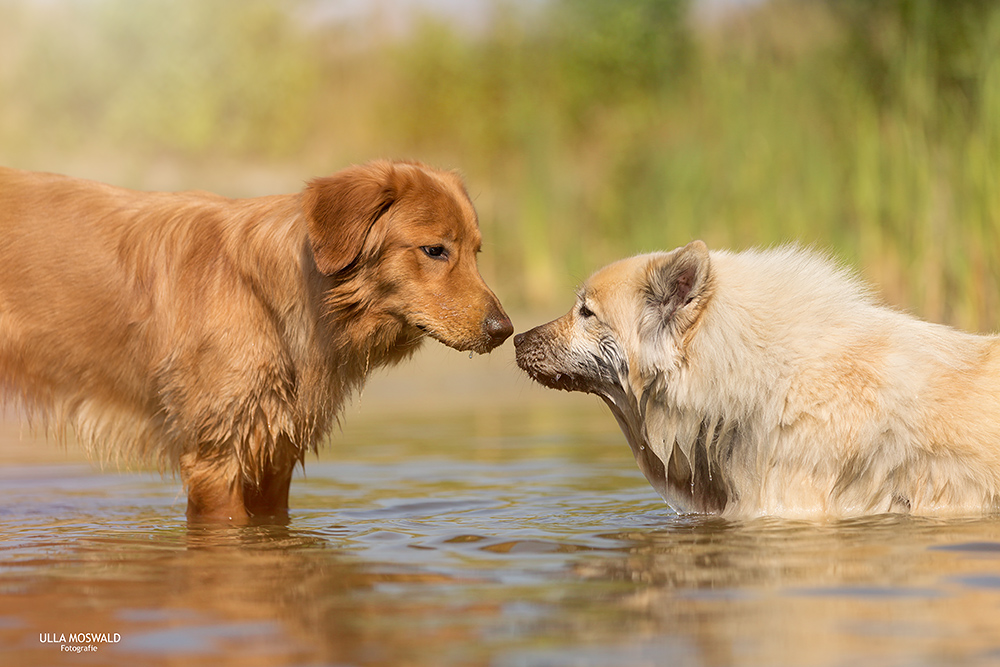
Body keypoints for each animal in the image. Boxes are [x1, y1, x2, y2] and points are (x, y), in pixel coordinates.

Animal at [0, 160, 512, 520]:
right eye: (434, 250)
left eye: (476, 252)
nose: (504, 330)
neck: (274, 299)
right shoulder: (215, 454)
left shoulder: (274, 455)